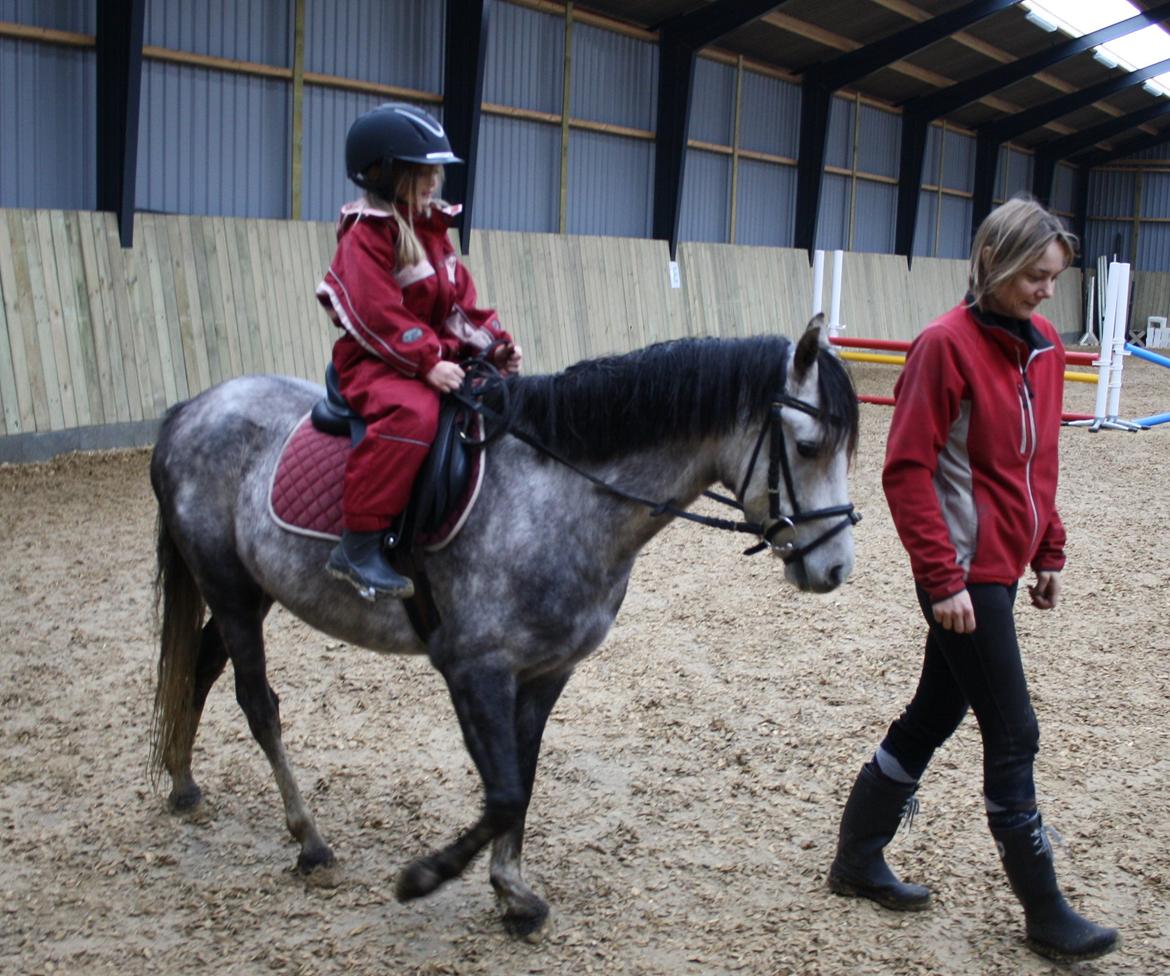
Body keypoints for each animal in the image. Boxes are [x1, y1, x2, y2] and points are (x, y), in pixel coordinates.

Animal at [149, 321, 860, 938]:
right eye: (806, 447)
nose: (835, 568)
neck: (560, 496)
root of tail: (192, 408)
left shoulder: (546, 672)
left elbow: (522, 780)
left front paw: (511, 892)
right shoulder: (473, 666)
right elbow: (503, 793)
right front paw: (427, 876)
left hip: (249, 592)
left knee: (200, 667)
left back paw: (183, 784)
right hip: (231, 590)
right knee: (257, 703)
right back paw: (310, 842)